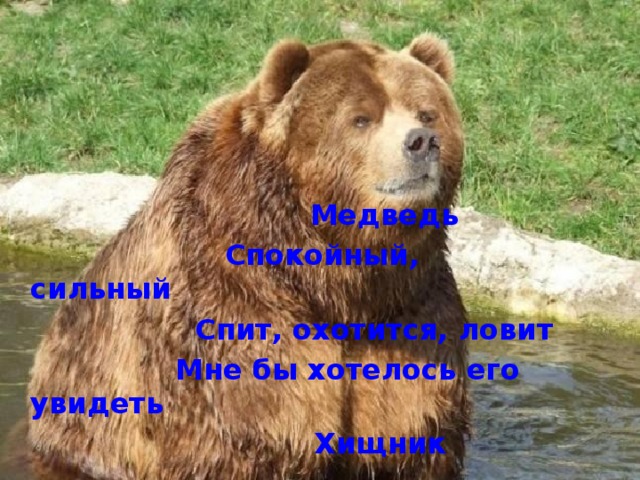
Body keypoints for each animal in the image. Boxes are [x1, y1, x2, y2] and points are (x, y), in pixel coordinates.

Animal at [26, 32, 470, 480]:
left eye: (428, 112)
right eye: (361, 118)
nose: (421, 141)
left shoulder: (412, 312)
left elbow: (414, 431)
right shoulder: (231, 301)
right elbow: (249, 430)